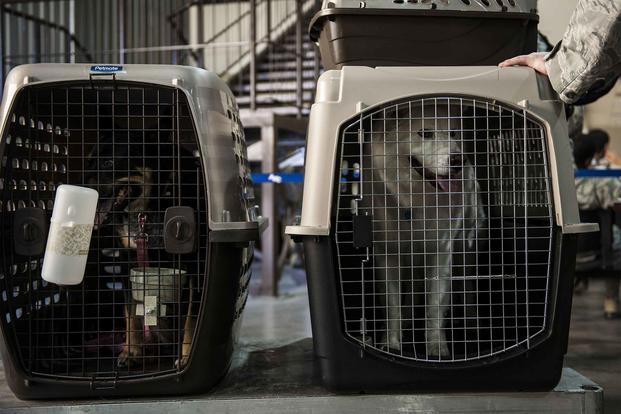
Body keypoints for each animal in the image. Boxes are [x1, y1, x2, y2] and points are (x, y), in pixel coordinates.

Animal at [86, 132, 196, 369]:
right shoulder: (129, 261)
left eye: (108, 162)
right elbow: (131, 313)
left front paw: (186, 357)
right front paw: (131, 352)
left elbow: (192, 318)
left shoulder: (194, 266)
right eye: (88, 162)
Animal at [362, 101, 485, 358]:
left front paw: (436, 346)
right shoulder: (387, 255)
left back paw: (471, 322)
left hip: (466, 247)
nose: (458, 160)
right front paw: (391, 343)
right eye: (425, 133)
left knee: (468, 285)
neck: (417, 200)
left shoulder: (442, 251)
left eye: (453, 133)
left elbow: (435, 305)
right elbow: (392, 305)